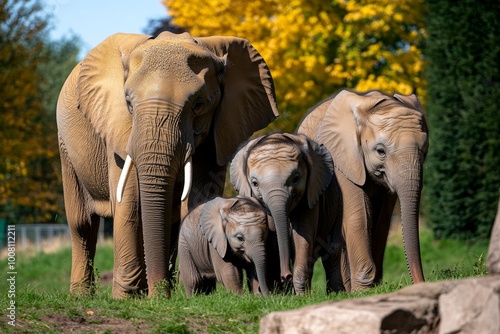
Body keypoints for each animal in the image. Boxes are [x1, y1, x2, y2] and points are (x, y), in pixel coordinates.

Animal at [57, 31, 282, 298]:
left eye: (198, 105)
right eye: (129, 103)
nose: (159, 296)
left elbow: (198, 198)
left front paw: (195, 293)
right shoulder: (118, 130)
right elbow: (129, 201)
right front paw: (126, 298)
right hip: (65, 144)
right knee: (82, 223)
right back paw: (82, 296)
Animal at [230, 132, 344, 294]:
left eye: (296, 179)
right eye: (254, 183)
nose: (286, 275)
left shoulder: (310, 197)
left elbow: (303, 236)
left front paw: (301, 296)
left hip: (338, 203)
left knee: (332, 251)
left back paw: (336, 292)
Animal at [296, 90, 430, 290]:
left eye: (425, 149)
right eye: (380, 151)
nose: (421, 282)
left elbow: (382, 221)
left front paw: (374, 286)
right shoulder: (343, 159)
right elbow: (358, 217)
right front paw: (362, 290)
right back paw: (344, 290)